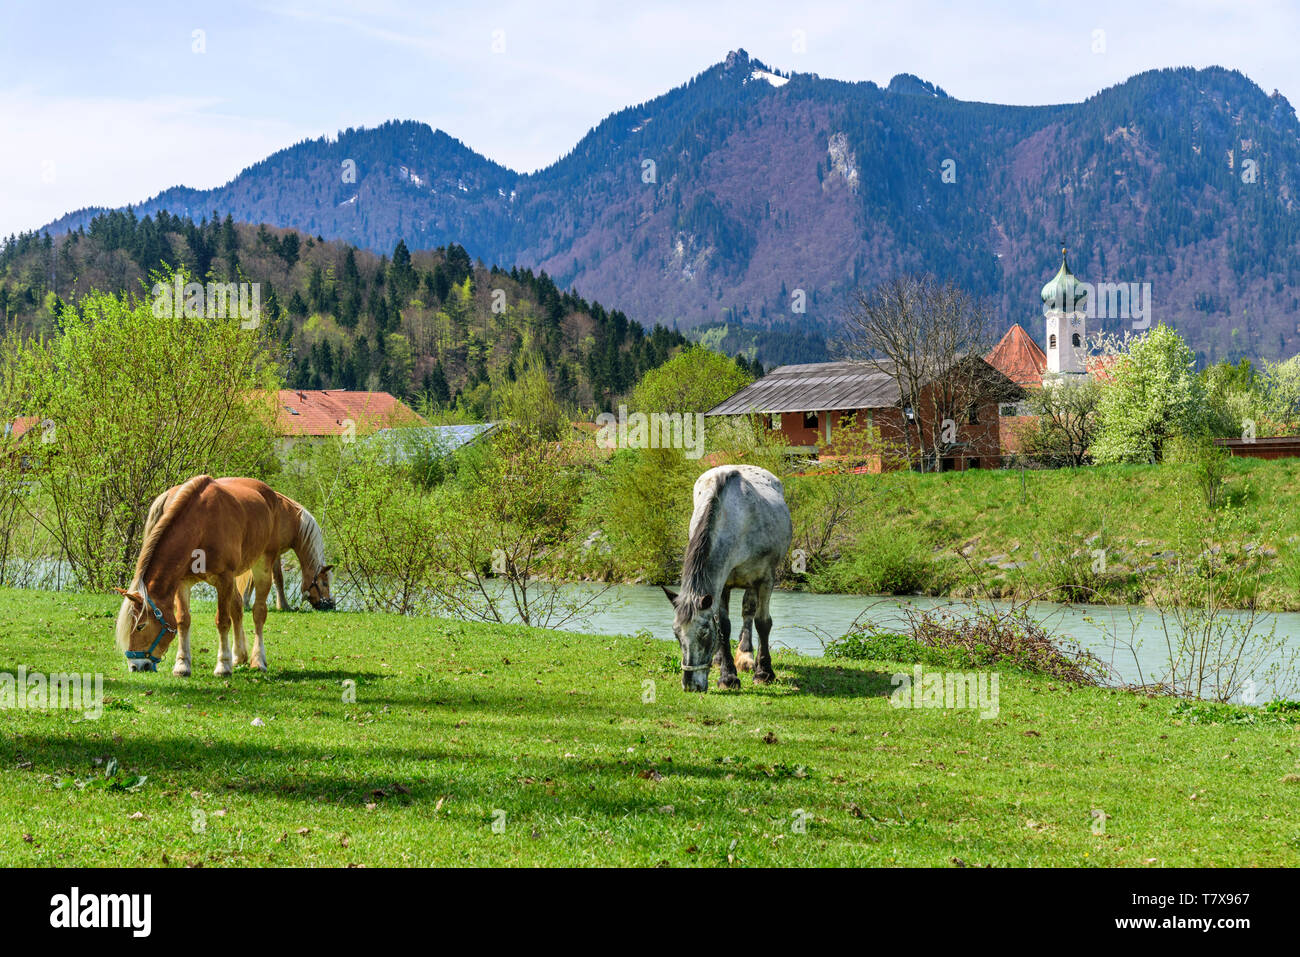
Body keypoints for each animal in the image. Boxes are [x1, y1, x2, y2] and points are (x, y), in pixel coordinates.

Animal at [115, 475, 335, 670]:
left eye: (141, 625)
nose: (136, 666)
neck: (201, 526)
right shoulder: (182, 582)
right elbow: (183, 620)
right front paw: (182, 665)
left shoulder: (225, 579)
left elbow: (222, 620)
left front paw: (223, 665)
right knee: (238, 608)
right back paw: (240, 656)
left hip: (261, 564)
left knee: (258, 612)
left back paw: (258, 660)